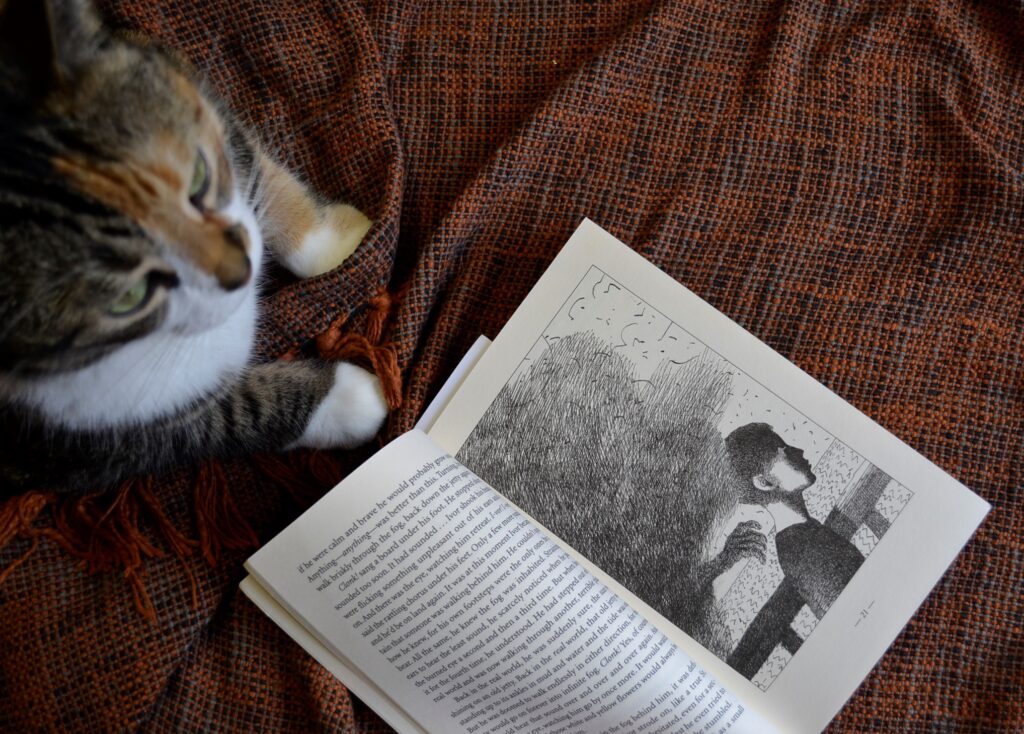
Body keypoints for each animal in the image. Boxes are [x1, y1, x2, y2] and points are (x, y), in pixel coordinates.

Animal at [0, 1, 387, 493]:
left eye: (200, 177)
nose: (244, 269)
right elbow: (230, 418)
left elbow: (249, 165)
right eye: (128, 297)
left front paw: (333, 244)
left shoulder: (178, 82)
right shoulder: (73, 441)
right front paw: (348, 399)